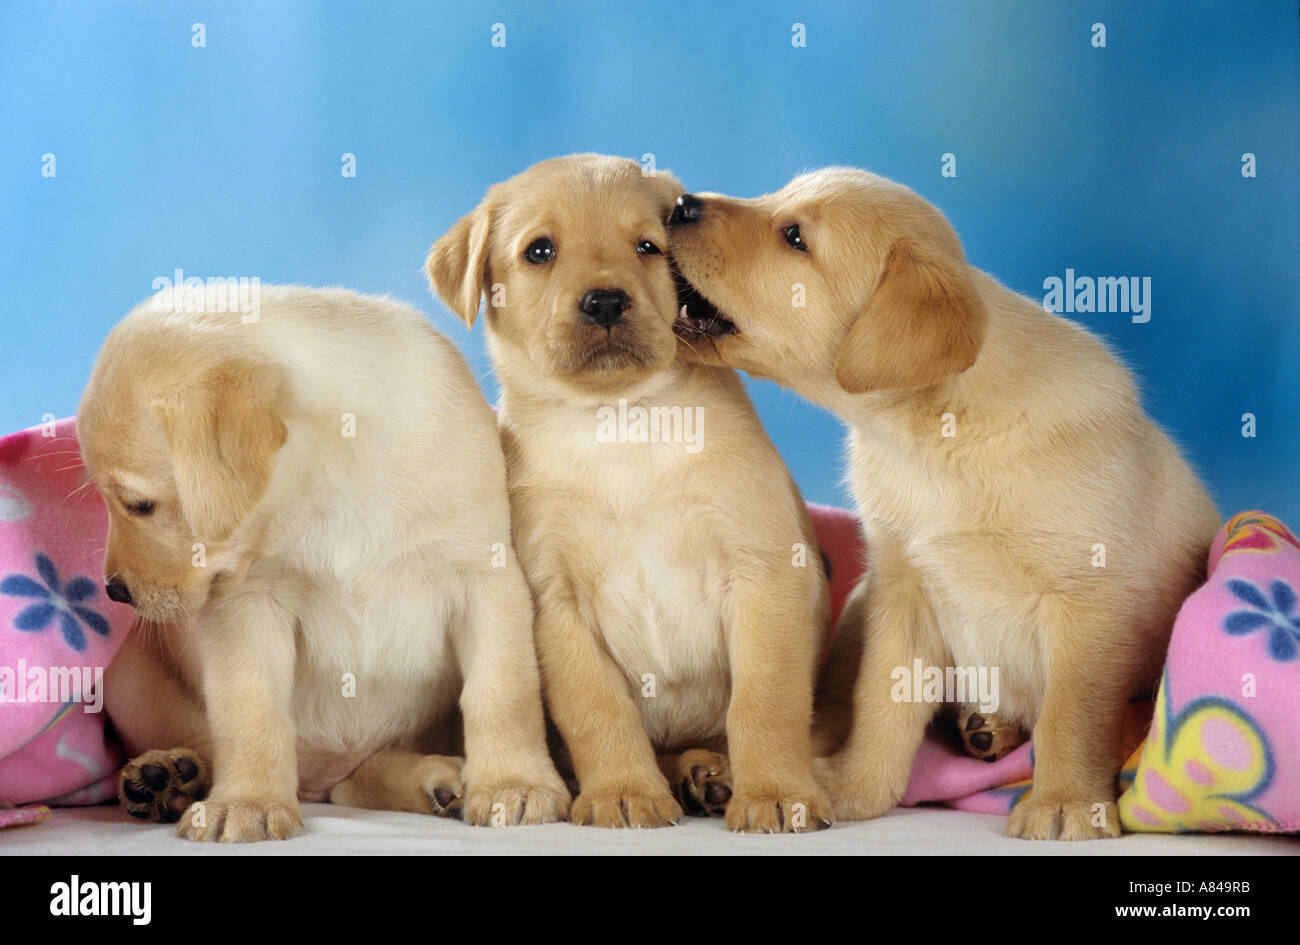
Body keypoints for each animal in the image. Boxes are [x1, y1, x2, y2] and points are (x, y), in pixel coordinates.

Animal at [78, 285, 566, 842]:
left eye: (139, 505)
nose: (115, 591)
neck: (335, 479)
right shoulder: (246, 604)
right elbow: (250, 712)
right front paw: (247, 800)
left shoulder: (486, 579)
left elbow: (503, 691)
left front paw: (514, 783)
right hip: (126, 673)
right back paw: (171, 776)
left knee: (360, 779)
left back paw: (440, 780)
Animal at [428, 155, 832, 837]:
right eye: (540, 250)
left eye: (648, 246)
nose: (606, 301)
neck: (619, 424)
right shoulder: (556, 601)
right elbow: (597, 709)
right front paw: (623, 791)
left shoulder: (766, 574)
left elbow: (765, 703)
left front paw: (778, 793)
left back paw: (712, 773)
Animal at [670, 170, 1216, 842]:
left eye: (795, 236)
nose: (679, 204)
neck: (935, 438)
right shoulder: (902, 592)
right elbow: (879, 708)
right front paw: (852, 789)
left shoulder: (1089, 601)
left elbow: (1072, 717)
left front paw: (1065, 803)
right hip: (856, 607)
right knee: (821, 715)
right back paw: (725, 770)